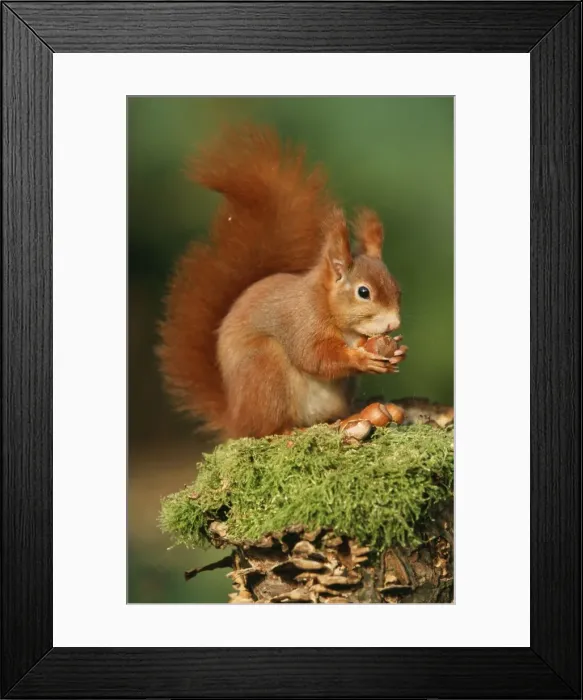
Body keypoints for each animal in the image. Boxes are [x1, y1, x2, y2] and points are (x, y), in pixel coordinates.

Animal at [158, 124, 403, 439]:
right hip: (265, 370)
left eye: (398, 290)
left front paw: (396, 350)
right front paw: (362, 359)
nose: (394, 324)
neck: (327, 307)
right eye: (364, 292)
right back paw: (289, 431)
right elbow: (316, 357)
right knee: (267, 428)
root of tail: (236, 418)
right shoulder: (301, 323)